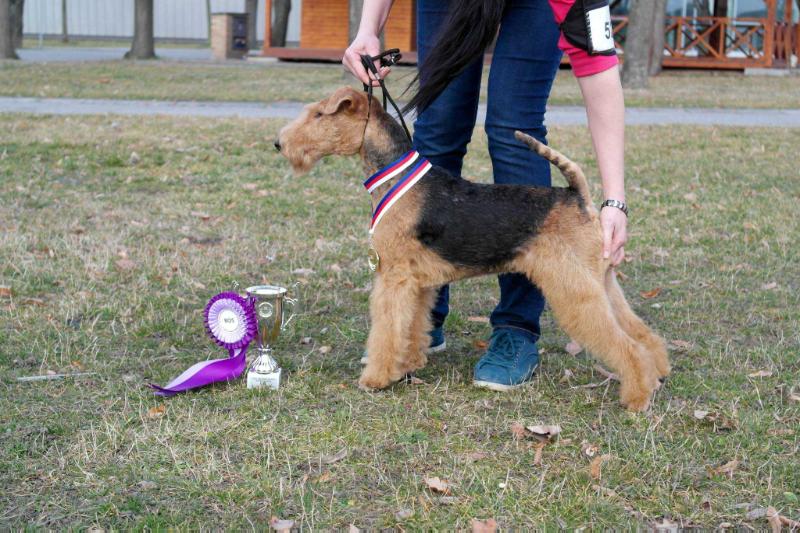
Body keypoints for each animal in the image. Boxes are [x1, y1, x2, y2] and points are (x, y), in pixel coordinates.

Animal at [276, 87, 668, 412]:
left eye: (318, 114)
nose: (279, 144)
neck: (395, 176)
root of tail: (577, 196)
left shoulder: (394, 276)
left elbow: (387, 328)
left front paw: (377, 377)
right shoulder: (419, 281)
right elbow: (413, 324)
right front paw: (410, 362)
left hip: (573, 287)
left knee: (626, 345)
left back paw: (636, 398)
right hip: (601, 281)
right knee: (641, 333)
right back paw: (657, 373)